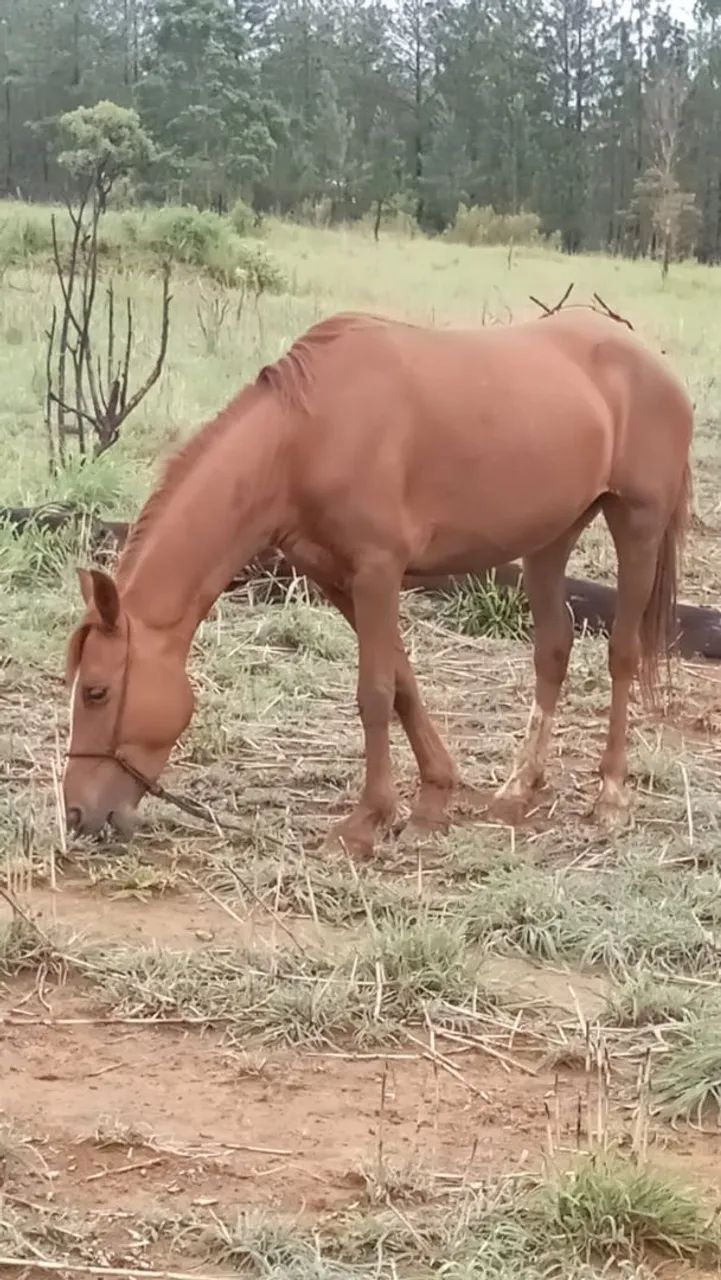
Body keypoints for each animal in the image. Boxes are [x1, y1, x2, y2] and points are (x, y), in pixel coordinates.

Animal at [63, 309, 693, 855]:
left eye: (97, 691)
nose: (76, 815)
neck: (305, 437)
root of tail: (654, 363)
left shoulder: (378, 571)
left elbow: (374, 692)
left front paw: (368, 821)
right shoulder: (339, 577)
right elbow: (402, 681)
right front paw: (432, 802)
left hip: (636, 524)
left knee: (622, 655)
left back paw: (611, 796)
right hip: (550, 538)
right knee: (554, 648)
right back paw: (518, 788)